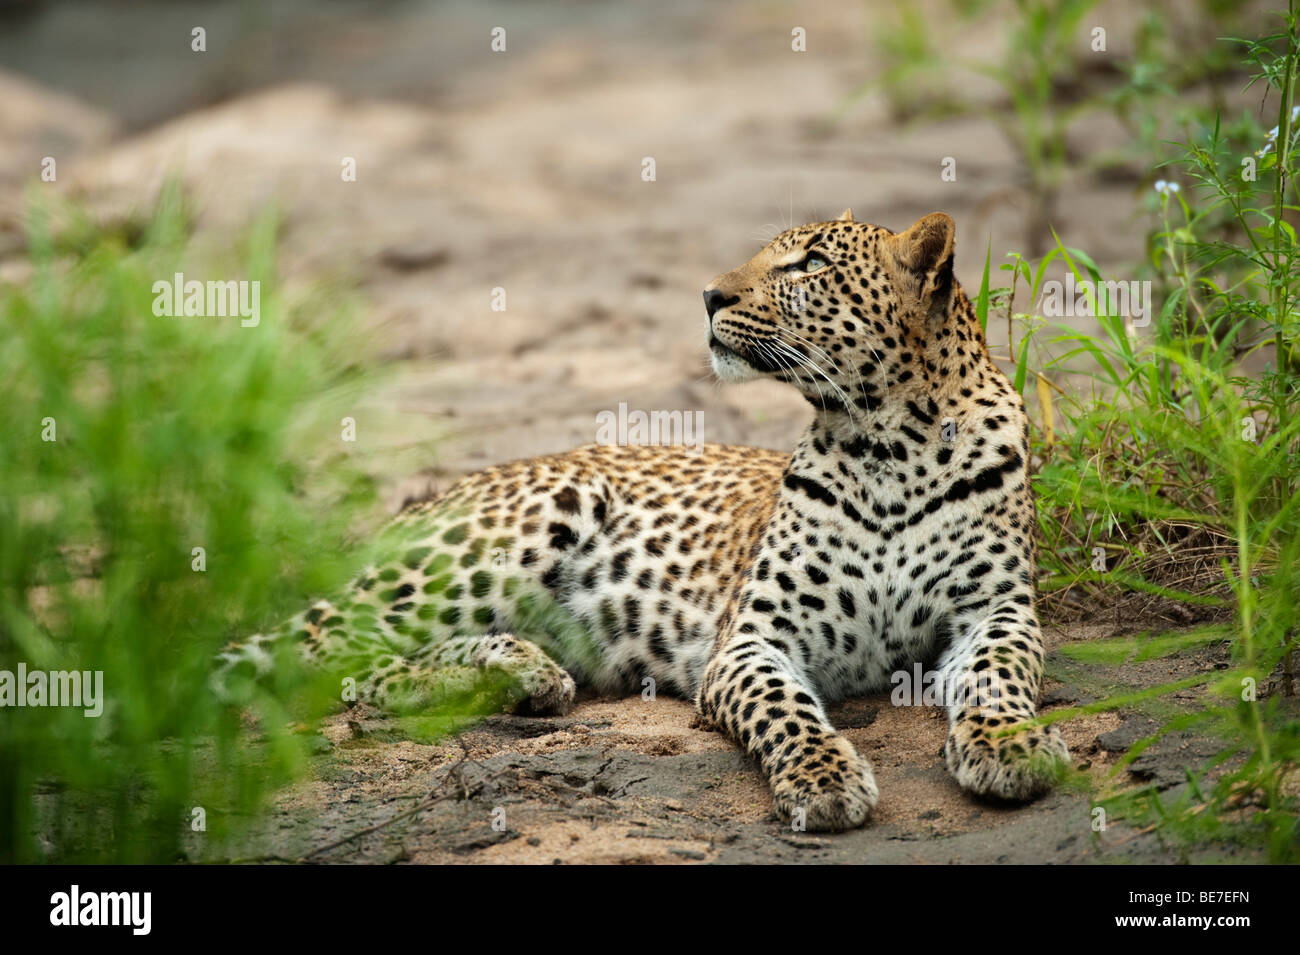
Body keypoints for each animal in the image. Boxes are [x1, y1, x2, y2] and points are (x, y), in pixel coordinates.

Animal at [213, 207, 1066, 831]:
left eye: (810, 264)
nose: (710, 296)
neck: (889, 445)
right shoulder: (752, 640)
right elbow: (786, 711)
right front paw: (821, 777)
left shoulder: (995, 611)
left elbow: (999, 676)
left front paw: (1010, 746)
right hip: (517, 530)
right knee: (325, 659)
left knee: (359, 669)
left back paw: (516, 671)